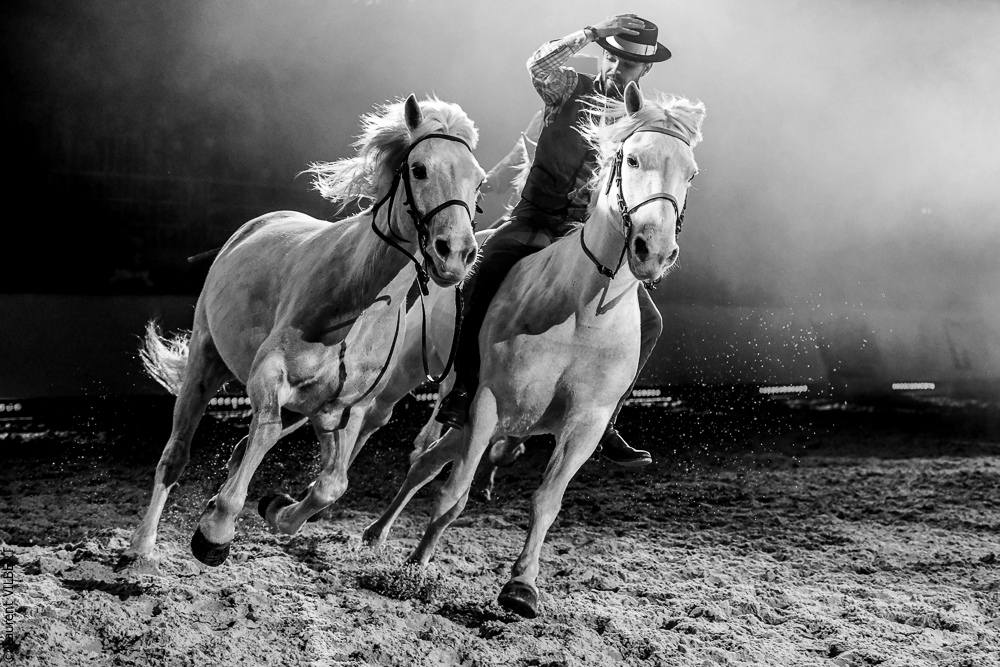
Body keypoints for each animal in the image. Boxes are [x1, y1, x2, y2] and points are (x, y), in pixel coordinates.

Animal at [119, 94, 484, 568]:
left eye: (479, 183)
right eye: (419, 168)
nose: (455, 253)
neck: (358, 303)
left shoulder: (341, 410)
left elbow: (332, 485)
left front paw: (275, 509)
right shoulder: (270, 378)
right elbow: (266, 436)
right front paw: (215, 534)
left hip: (297, 410)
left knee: (242, 450)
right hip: (205, 361)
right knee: (176, 455)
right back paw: (143, 545)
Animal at [362, 83, 705, 618]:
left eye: (690, 173)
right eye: (632, 158)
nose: (653, 250)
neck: (584, 311)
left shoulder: (584, 424)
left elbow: (546, 501)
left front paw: (521, 587)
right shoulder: (486, 402)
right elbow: (454, 495)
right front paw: (415, 568)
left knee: (427, 460)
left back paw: (384, 536)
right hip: (422, 383)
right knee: (408, 446)